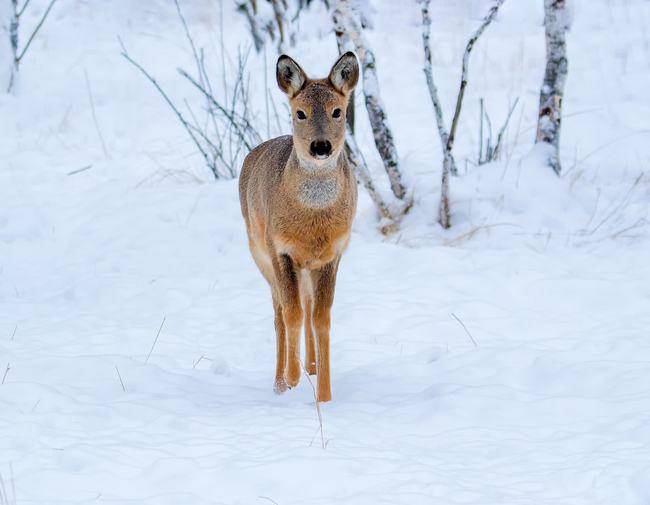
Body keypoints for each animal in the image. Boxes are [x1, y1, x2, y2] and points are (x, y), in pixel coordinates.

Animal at [239, 52, 360, 402]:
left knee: (305, 307)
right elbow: (290, 314)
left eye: (337, 111)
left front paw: (325, 395)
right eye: (300, 113)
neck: (311, 221)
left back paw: (311, 367)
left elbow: (321, 319)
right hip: (259, 254)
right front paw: (291, 379)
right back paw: (280, 382)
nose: (320, 146)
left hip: (306, 268)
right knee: (280, 312)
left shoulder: (333, 255)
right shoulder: (280, 250)